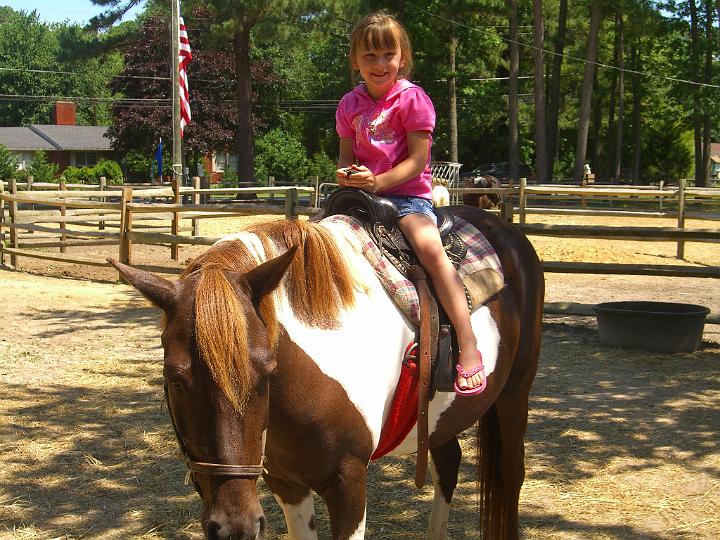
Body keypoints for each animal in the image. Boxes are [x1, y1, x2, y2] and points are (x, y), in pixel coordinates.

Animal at [109, 205, 544, 536]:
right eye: (174, 379)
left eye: (267, 372)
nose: (235, 527)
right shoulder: (286, 483)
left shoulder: (348, 484)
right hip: (440, 419)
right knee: (449, 463)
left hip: (514, 395)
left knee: (511, 473)